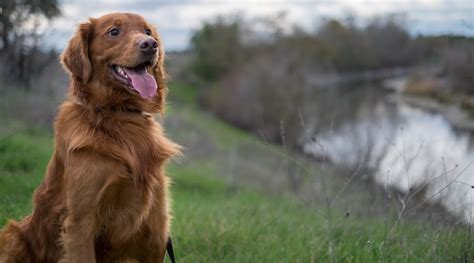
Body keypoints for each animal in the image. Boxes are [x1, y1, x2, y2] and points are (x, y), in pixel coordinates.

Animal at [0, 12, 181, 263]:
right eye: (114, 32)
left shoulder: (156, 229)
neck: (118, 116)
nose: (150, 45)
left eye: (147, 32)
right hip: (12, 235)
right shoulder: (80, 223)